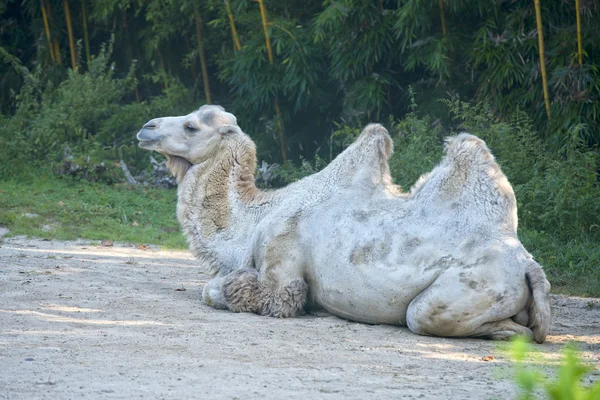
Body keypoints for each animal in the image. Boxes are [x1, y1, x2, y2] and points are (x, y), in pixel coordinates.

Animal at [138, 104, 552, 342]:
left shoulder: (280, 265)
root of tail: (528, 265)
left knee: (440, 318)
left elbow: (219, 290)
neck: (255, 218)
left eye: (192, 127)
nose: (147, 127)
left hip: (468, 291)